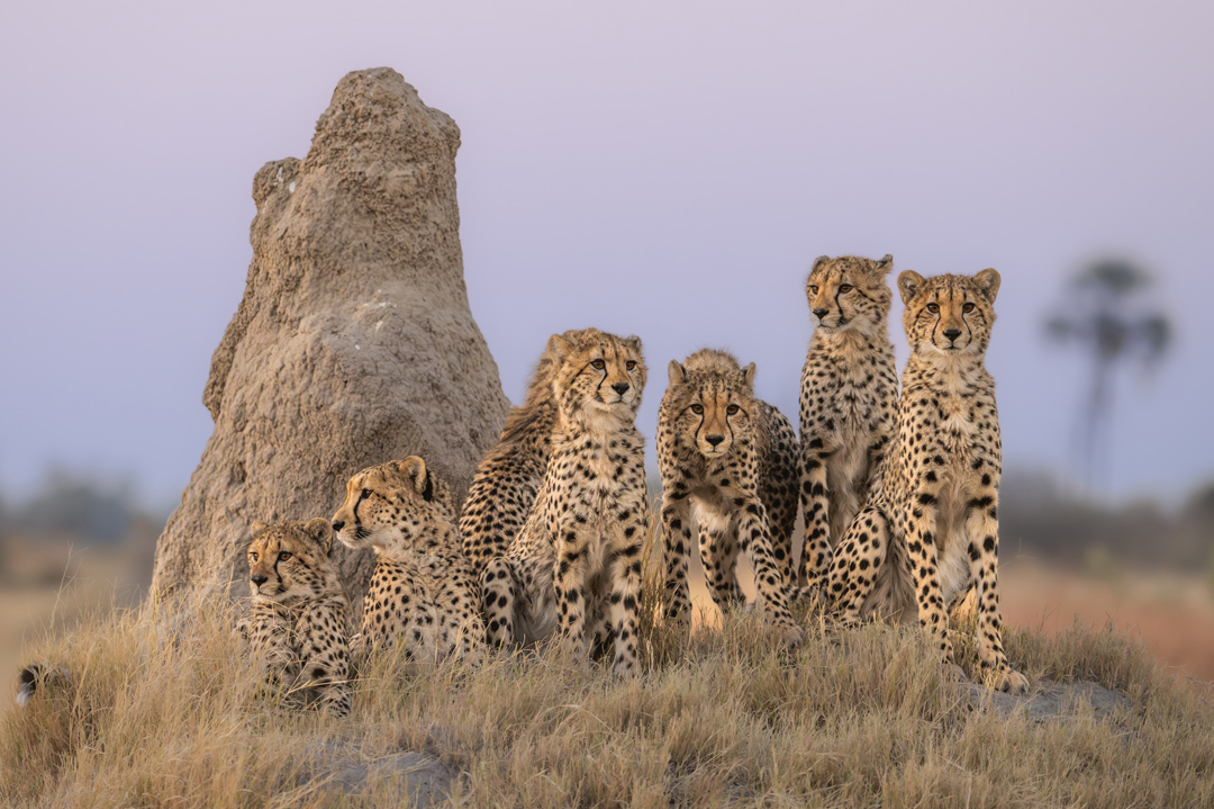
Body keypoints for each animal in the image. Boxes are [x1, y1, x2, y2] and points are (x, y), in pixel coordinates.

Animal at [238, 518, 355, 715]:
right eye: (255, 555)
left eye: (285, 556)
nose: (257, 580)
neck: (291, 607)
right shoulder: (266, 679)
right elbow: (275, 711)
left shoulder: (333, 681)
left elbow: (334, 713)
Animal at [480, 328, 649, 677]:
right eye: (597, 363)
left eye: (630, 364)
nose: (622, 387)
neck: (604, 437)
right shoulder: (569, 551)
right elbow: (571, 610)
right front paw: (569, 669)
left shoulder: (628, 552)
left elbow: (628, 615)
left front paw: (628, 672)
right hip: (499, 568)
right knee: (502, 648)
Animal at [657, 348, 803, 646]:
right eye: (697, 408)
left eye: (732, 409)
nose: (715, 439)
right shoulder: (675, 498)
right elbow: (675, 566)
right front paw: (675, 624)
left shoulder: (748, 503)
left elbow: (766, 566)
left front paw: (782, 626)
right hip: (711, 550)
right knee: (729, 594)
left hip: (779, 529)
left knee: (781, 571)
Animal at [797, 254, 900, 600]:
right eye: (814, 288)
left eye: (845, 288)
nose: (819, 312)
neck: (850, 345)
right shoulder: (814, 449)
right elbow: (816, 518)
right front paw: (818, 576)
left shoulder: (881, 450)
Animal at [825, 268, 1029, 693]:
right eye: (933, 307)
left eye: (968, 307)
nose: (951, 333)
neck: (953, 382)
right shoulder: (918, 505)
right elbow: (930, 590)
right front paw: (943, 662)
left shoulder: (984, 508)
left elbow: (990, 596)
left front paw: (998, 667)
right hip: (872, 523)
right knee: (839, 618)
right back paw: (875, 636)